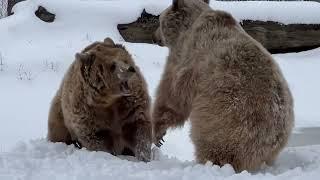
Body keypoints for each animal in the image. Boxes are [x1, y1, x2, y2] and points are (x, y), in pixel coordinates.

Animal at [152, 0, 296, 172]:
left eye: (159, 20)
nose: (154, 37)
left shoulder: (187, 58)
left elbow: (172, 94)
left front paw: (158, 132)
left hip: (226, 120)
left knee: (215, 146)